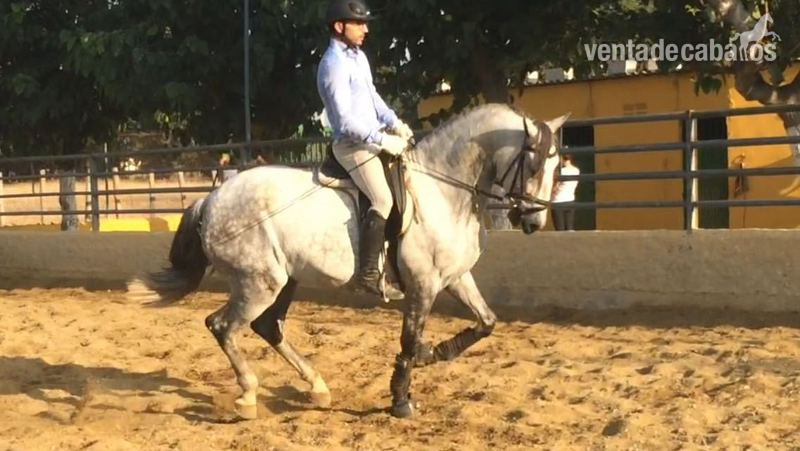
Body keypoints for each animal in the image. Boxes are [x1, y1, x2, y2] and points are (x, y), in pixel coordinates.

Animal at [128, 103, 569, 419]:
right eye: (533, 162)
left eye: (557, 165)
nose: (534, 220)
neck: (444, 189)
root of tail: (210, 199)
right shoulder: (423, 284)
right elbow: (410, 339)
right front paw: (402, 398)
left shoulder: (455, 277)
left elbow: (486, 323)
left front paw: (436, 354)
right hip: (259, 282)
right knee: (223, 326)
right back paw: (249, 395)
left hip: (284, 280)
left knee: (268, 327)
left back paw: (316, 387)